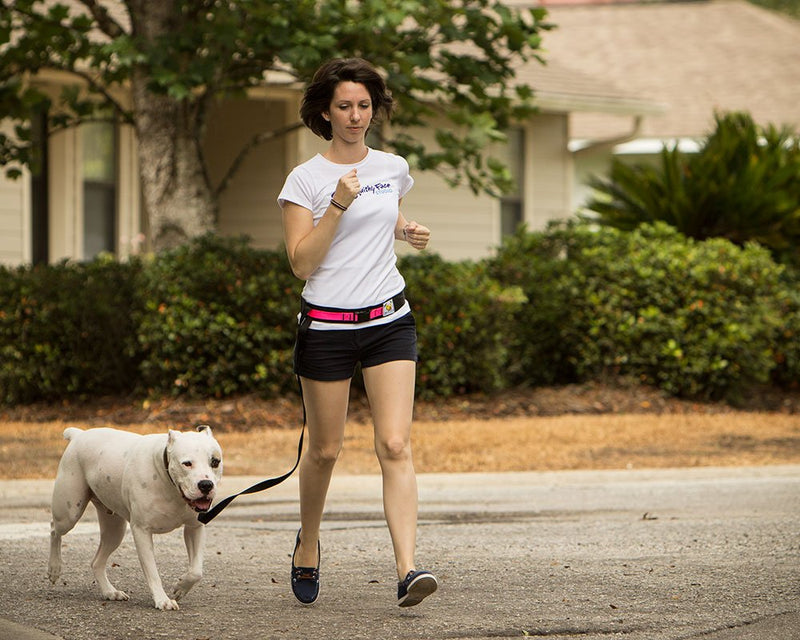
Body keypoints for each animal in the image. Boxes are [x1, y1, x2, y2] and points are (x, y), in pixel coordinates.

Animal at [47, 424, 222, 608]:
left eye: (215, 462)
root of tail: (78, 434)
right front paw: (162, 600)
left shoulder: (195, 528)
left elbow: (196, 571)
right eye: (187, 463)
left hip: (114, 531)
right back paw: (54, 568)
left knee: (97, 562)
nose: (206, 484)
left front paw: (181, 587)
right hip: (69, 513)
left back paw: (110, 592)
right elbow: (152, 572)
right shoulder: (142, 531)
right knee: (54, 530)